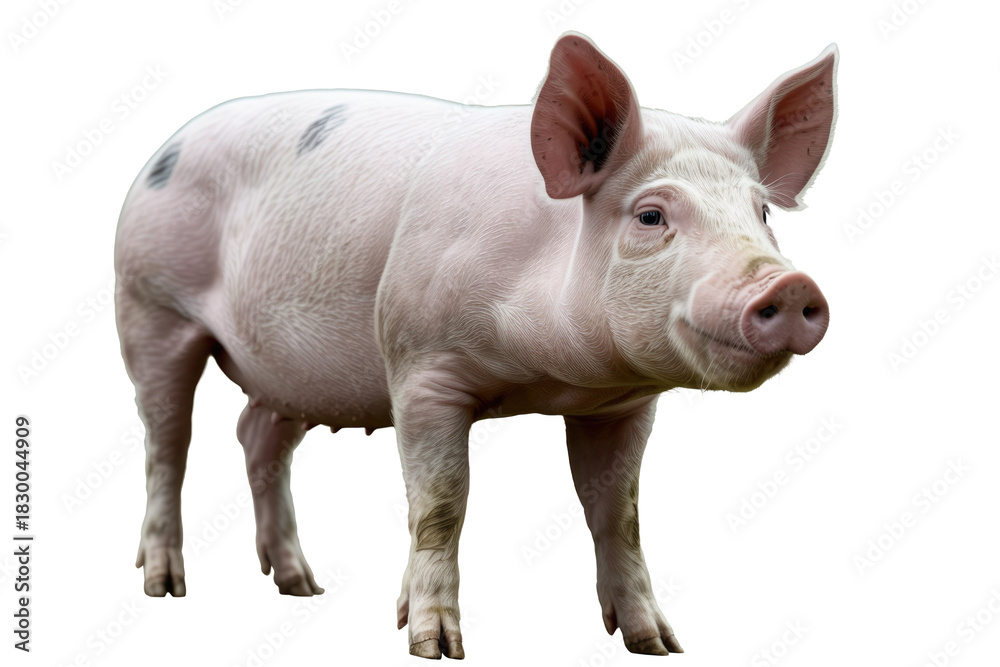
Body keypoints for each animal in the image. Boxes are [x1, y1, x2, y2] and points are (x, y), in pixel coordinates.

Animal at [115, 32, 837, 659]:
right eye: (651, 215)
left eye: (761, 213)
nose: (791, 283)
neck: (551, 377)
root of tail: (165, 146)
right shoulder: (420, 368)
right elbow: (441, 504)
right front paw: (433, 646)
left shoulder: (622, 404)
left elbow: (618, 512)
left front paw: (658, 644)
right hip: (149, 304)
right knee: (167, 442)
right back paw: (165, 585)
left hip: (290, 372)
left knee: (257, 435)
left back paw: (301, 585)